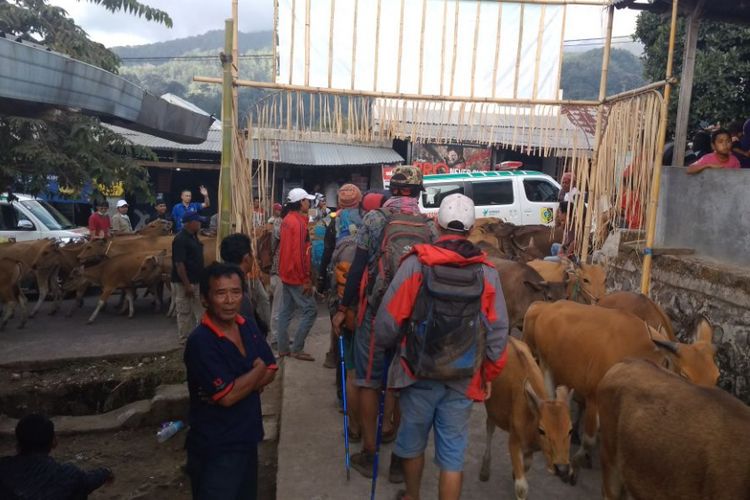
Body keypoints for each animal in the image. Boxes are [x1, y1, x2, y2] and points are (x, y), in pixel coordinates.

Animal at [482, 336, 576, 496]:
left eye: (570, 430)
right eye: (542, 430)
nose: (562, 469)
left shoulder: (530, 449)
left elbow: (526, 465)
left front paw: (514, 473)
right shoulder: (514, 441)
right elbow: (521, 487)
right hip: (492, 410)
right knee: (489, 427)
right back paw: (485, 470)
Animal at [524, 300, 724, 468]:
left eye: (716, 376)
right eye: (685, 374)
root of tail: (545, 307)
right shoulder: (594, 397)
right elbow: (590, 438)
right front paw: (580, 458)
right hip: (545, 364)